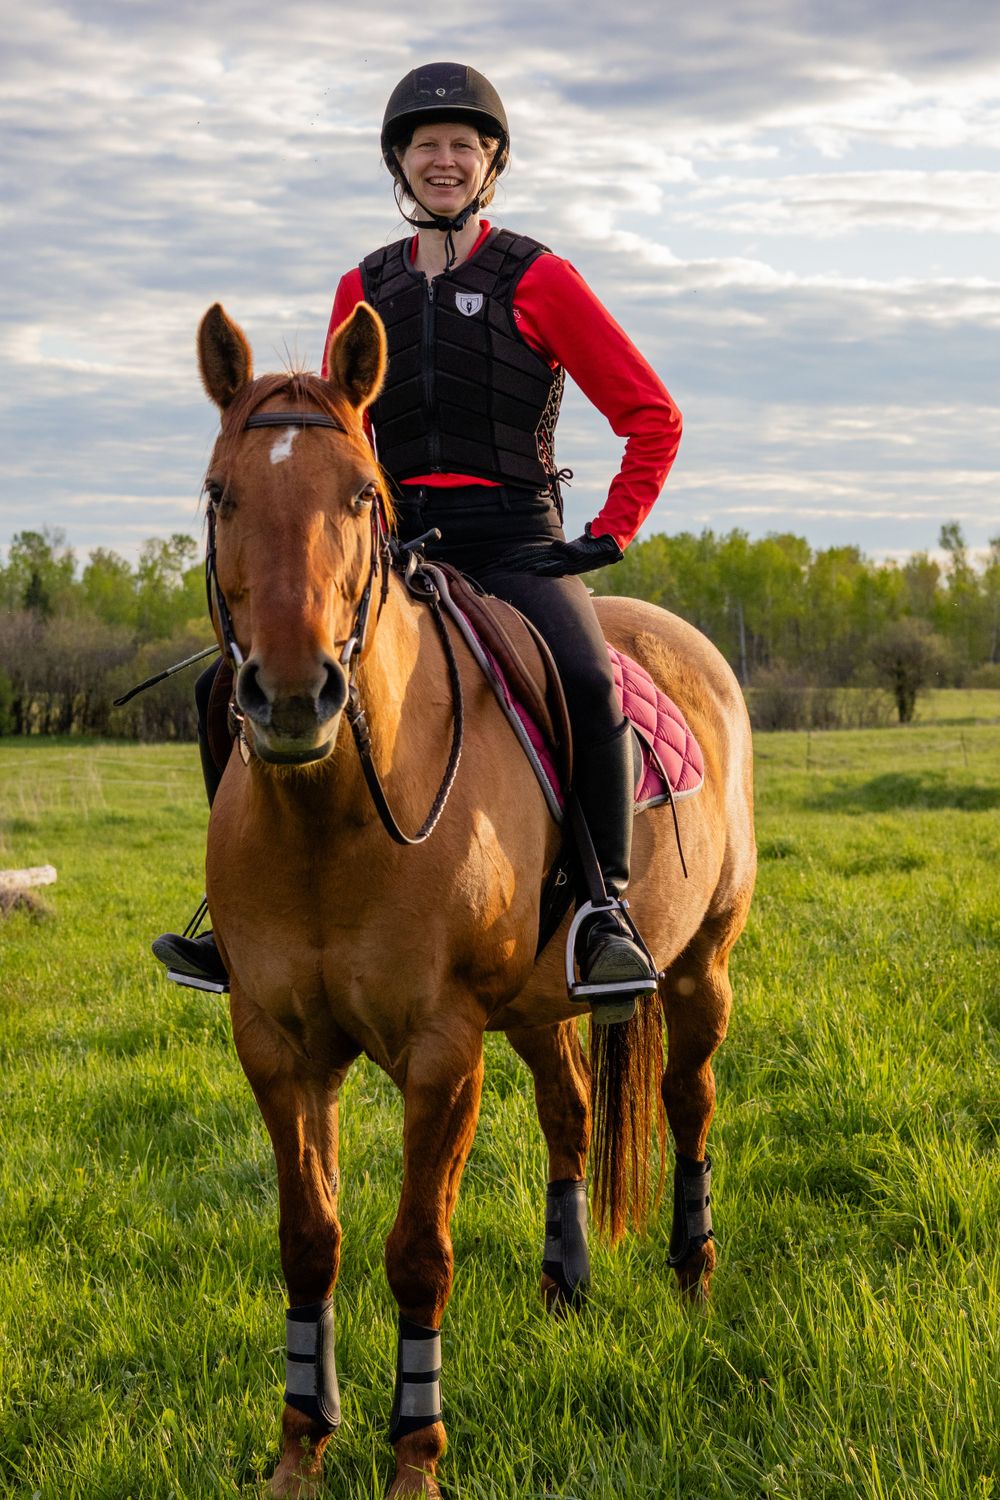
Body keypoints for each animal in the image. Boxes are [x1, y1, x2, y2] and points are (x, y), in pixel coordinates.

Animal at [196, 300, 756, 1499]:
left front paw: (415, 1453)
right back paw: (564, 1286)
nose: (295, 693)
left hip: (702, 969)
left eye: (362, 496)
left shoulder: (441, 1049)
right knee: (572, 1111)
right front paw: (300, 1446)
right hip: (542, 1007)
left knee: (689, 1101)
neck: (334, 820)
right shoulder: (276, 1043)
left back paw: (692, 1271)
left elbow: (419, 1251)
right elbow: (309, 1240)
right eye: (221, 495)